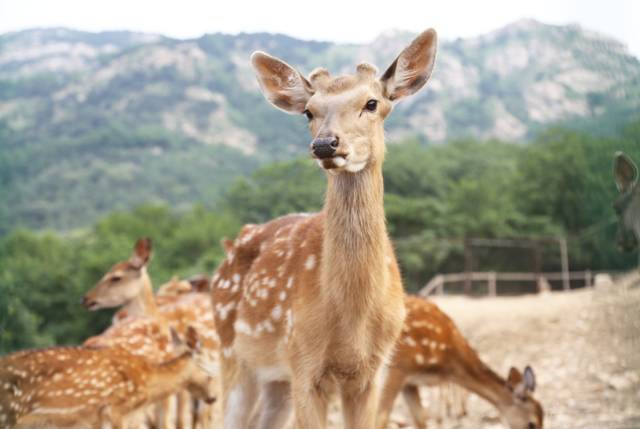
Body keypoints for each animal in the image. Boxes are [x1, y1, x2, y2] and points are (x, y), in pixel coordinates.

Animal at [212, 29, 438, 428]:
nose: (325, 144)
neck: (351, 322)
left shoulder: (373, 370)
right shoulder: (302, 360)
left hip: (274, 379)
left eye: (372, 103)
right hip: (233, 355)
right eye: (309, 111)